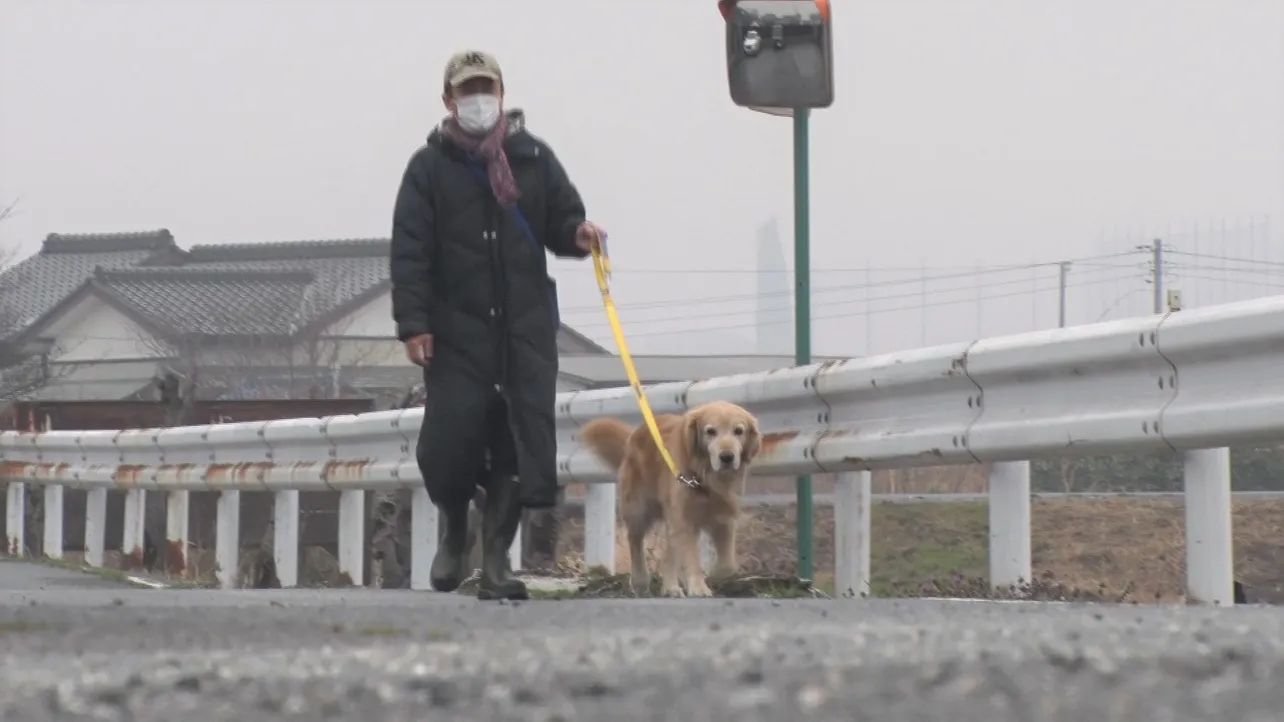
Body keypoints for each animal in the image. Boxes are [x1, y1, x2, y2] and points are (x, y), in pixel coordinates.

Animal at [577, 398, 754, 596]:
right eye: (711, 431)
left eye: (738, 431)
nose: (727, 457)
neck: (705, 478)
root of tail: (634, 435)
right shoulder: (683, 519)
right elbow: (690, 556)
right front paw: (698, 587)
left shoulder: (723, 516)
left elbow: (727, 563)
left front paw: (716, 575)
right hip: (639, 509)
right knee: (635, 541)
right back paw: (640, 581)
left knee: (668, 553)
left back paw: (671, 588)